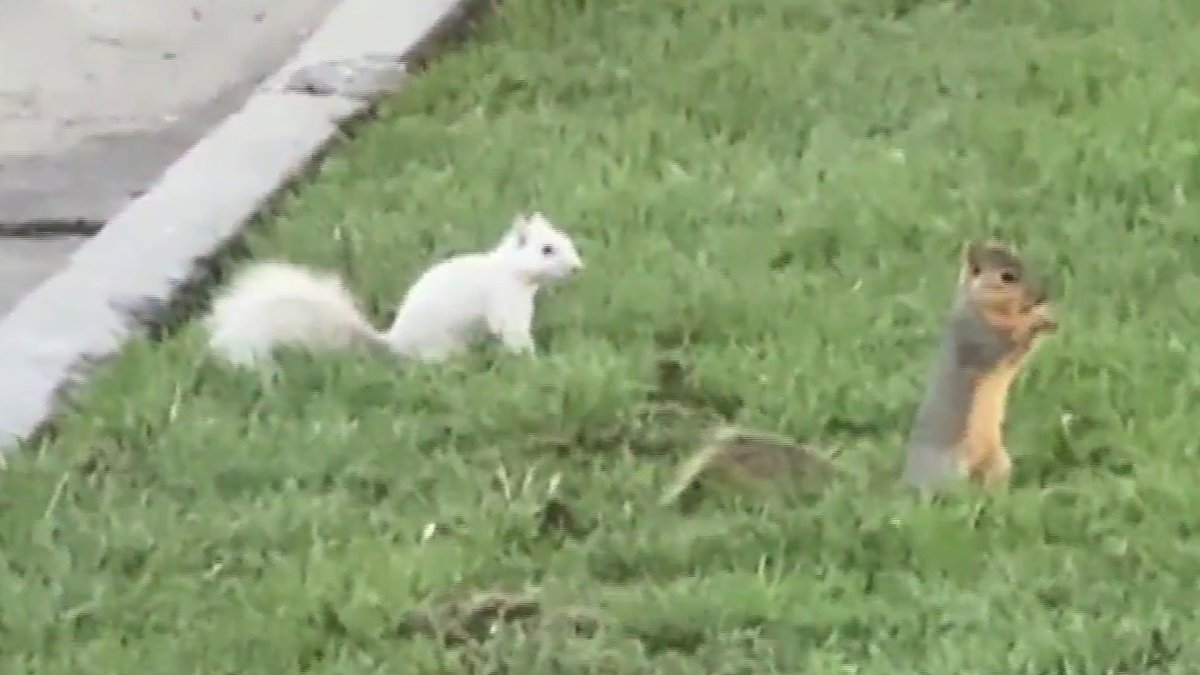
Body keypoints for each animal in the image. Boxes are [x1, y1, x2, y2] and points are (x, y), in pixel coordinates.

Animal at [204, 212, 584, 367]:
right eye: (547, 249)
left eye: (565, 238)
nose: (578, 267)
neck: (509, 271)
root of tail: (394, 343)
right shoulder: (504, 302)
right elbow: (513, 334)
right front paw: (534, 360)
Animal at [661, 239, 1059, 502]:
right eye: (1007, 276)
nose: (1042, 294)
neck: (983, 306)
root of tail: (905, 486)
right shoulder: (972, 336)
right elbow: (1000, 349)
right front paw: (1036, 323)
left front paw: (1043, 316)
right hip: (950, 466)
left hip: (998, 462)